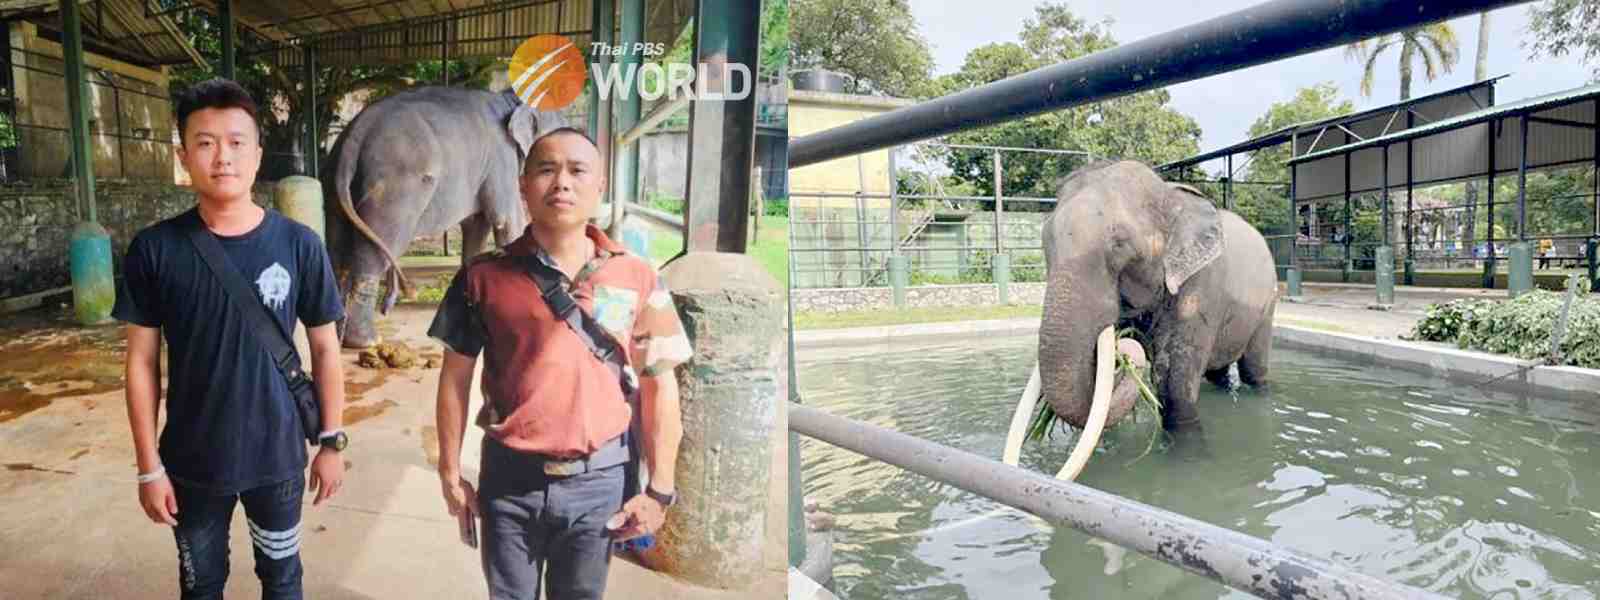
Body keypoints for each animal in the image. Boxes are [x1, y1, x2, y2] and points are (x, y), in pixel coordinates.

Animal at [321, 84, 566, 347]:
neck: (512, 100)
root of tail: (353, 138)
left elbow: (476, 228)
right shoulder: (502, 160)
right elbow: (506, 220)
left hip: (334, 186)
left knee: (336, 252)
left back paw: (339, 333)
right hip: (392, 190)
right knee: (377, 248)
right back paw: (366, 341)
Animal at [998, 160, 1273, 480]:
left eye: (1120, 244)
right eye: (1045, 242)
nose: (1127, 352)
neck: (1169, 193)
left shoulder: (1200, 287)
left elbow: (1174, 380)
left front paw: (1189, 462)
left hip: (1268, 302)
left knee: (1253, 367)